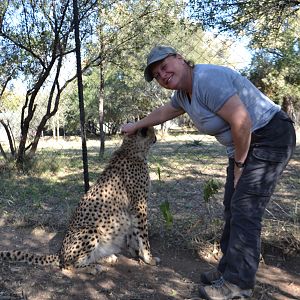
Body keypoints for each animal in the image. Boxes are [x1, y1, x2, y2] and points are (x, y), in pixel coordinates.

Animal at [0, 126, 159, 272]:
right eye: (153, 131)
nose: (156, 137)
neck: (131, 149)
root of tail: (60, 253)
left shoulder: (133, 208)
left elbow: (133, 232)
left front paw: (136, 252)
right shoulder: (139, 204)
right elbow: (143, 234)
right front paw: (148, 258)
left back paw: (106, 257)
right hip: (91, 231)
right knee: (67, 265)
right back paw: (93, 267)